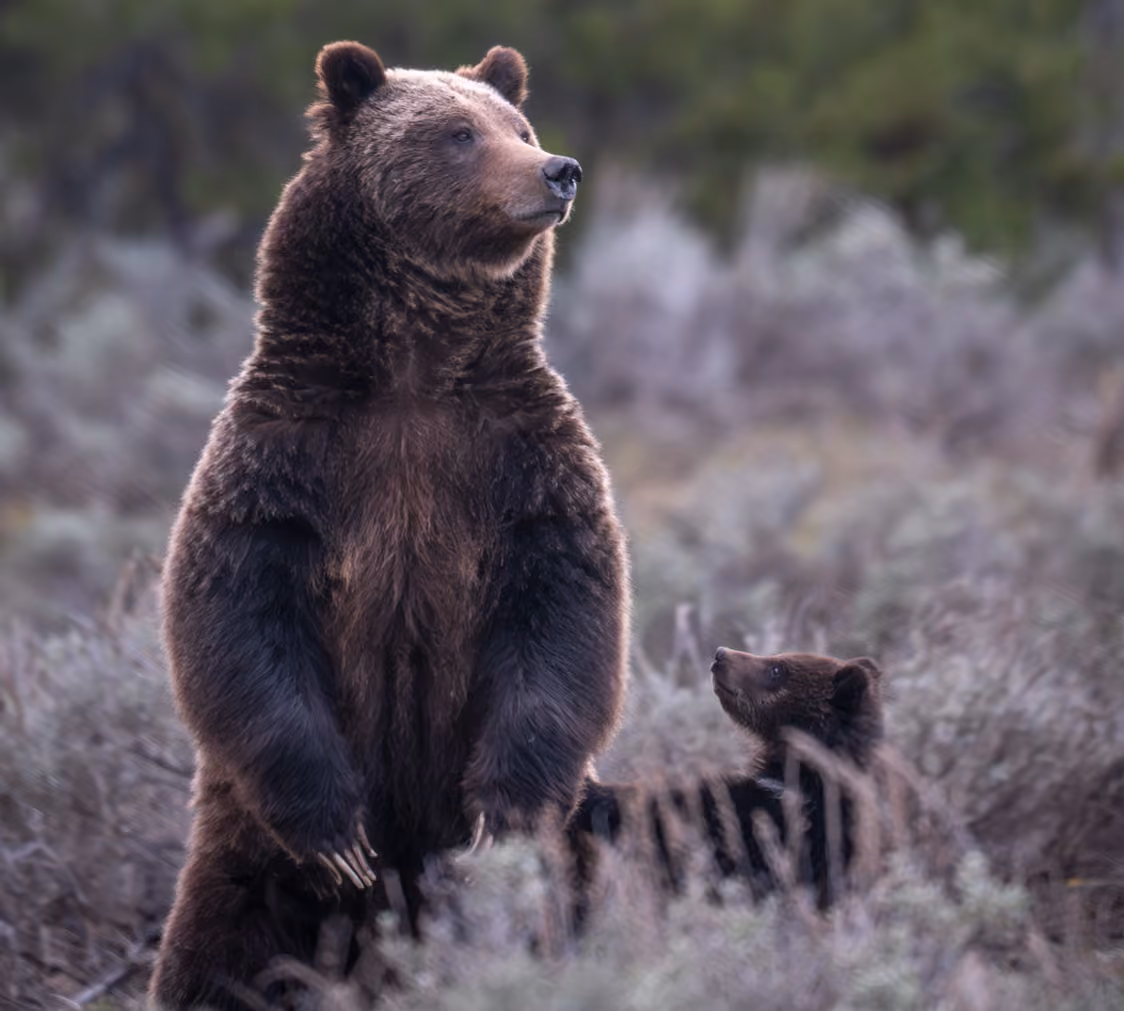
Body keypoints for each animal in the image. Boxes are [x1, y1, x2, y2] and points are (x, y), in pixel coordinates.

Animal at [150, 41, 629, 1010]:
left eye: (519, 126)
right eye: (458, 133)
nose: (558, 170)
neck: (415, 367)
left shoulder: (522, 461)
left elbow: (566, 617)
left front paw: (498, 815)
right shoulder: (285, 459)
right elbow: (236, 618)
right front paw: (339, 832)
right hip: (244, 859)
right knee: (218, 952)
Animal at [567, 648, 883, 913]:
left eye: (777, 669)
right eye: (778, 658)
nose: (721, 654)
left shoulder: (775, 821)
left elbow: (680, 813)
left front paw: (591, 789)